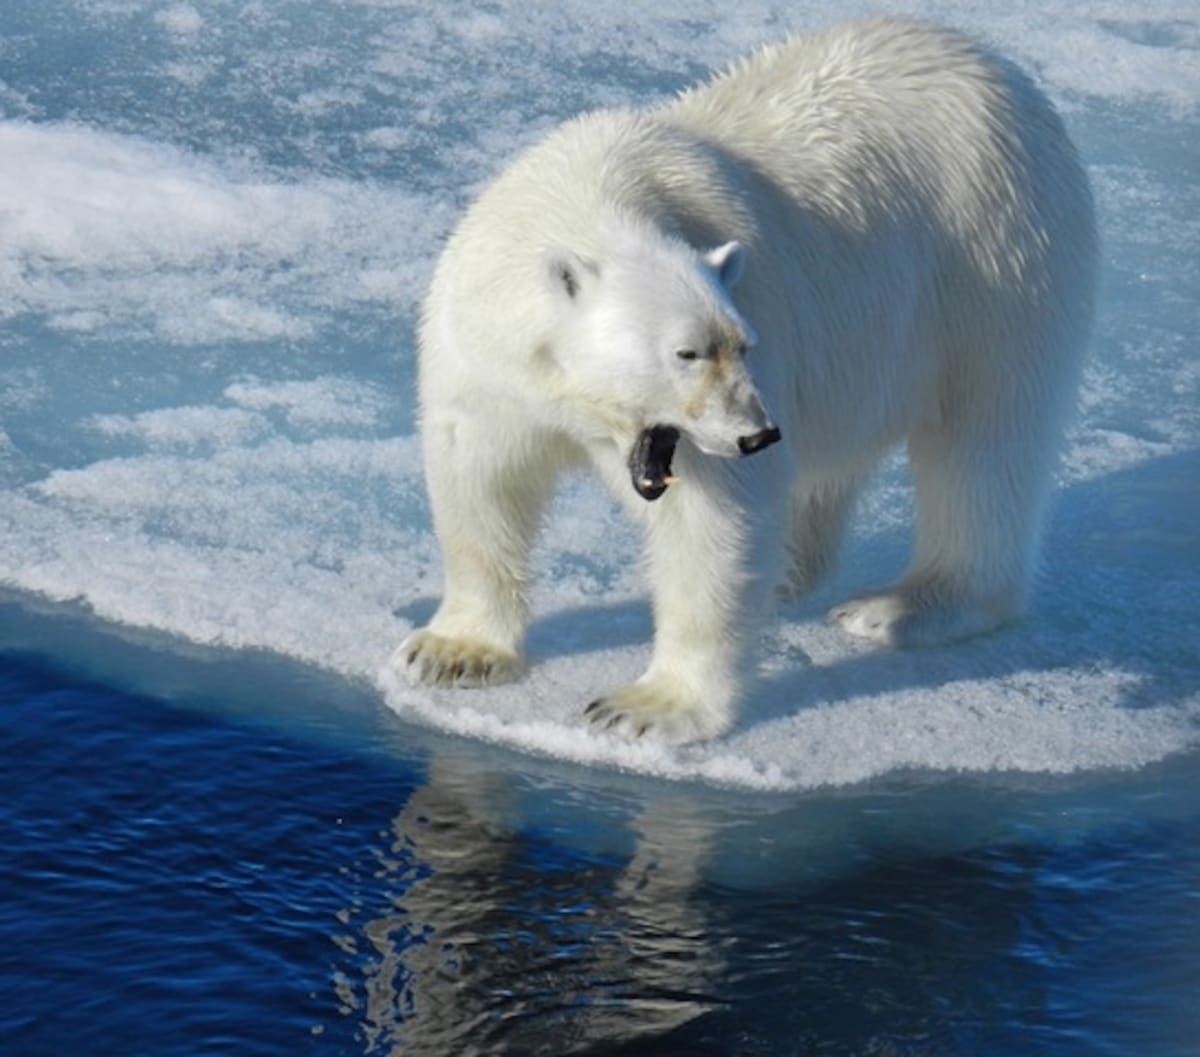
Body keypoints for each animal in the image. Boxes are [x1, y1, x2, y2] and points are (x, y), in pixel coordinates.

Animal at [396, 17, 1097, 745]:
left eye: (742, 344)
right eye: (687, 352)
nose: (758, 434)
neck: (585, 196)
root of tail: (994, 66)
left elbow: (711, 522)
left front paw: (645, 706)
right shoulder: (484, 360)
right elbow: (478, 482)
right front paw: (451, 651)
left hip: (996, 266)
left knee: (982, 449)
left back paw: (903, 606)